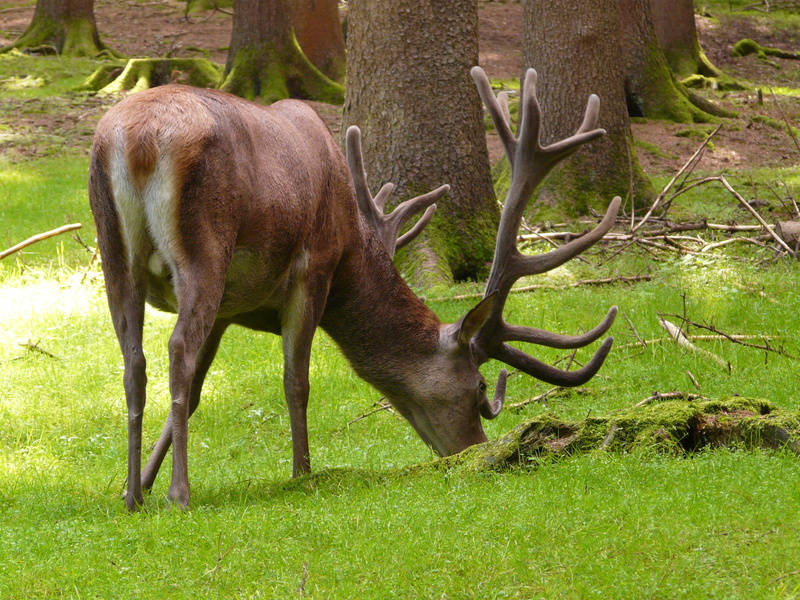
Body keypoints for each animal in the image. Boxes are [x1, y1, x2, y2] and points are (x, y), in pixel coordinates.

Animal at [89, 66, 620, 511]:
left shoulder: (230, 307)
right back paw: (181, 493)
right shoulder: (314, 268)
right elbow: (295, 381)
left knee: (134, 361)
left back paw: (133, 497)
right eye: (478, 388)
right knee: (176, 348)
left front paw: (142, 480)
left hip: (114, 251)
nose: (474, 454)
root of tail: (136, 140)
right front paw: (302, 472)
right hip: (204, 249)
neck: (352, 251)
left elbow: (200, 390)